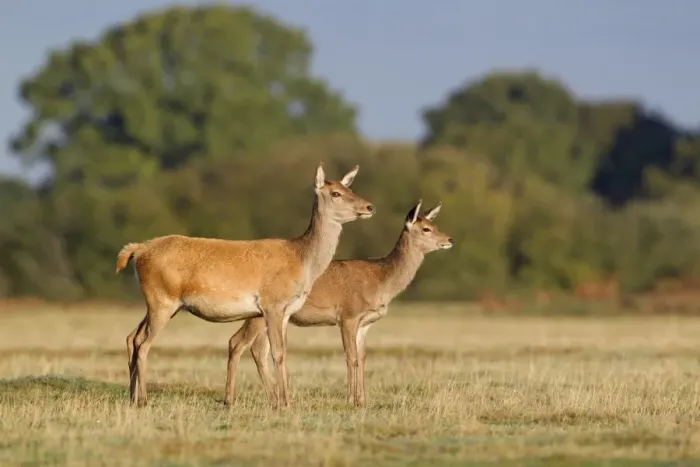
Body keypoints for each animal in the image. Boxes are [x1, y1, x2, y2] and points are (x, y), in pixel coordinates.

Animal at [115, 163, 375, 408]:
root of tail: (137, 251)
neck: (303, 261)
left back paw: (132, 397)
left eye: (350, 188)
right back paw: (143, 400)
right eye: (335, 193)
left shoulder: (286, 311)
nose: (369, 207)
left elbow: (283, 352)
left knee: (133, 337)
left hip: (161, 304)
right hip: (162, 300)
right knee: (144, 344)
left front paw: (285, 402)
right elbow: (277, 353)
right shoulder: (272, 303)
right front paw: (285, 404)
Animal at [223, 199, 452, 407]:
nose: (449, 239)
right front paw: (351, 400)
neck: (382, 280)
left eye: (434, 224)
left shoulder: (365, 323)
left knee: (257, 349)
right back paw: (234, 400)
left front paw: (362, 400)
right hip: (260, 313)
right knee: (239, 342)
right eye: (426, 229)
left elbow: (362, 358)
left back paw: (272, 399)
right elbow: (350, 357)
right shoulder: (348, 315)